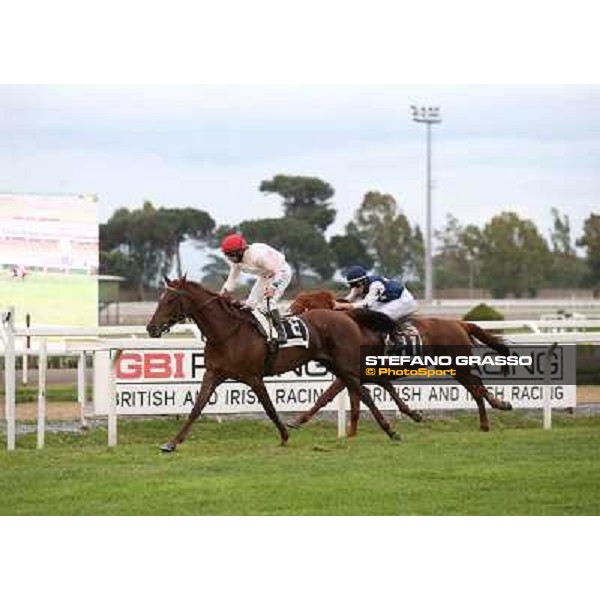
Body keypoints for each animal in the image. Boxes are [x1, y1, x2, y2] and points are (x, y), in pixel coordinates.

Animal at [145, 278, 404, 450]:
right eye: (160, 299)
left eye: (170, 299)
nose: (151, 328)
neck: (227, 332)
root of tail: (346, 315)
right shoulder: (213, 373)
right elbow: (196, 408)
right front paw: (172, 443)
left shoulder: (253, 377)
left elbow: (269, 408)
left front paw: (285, 435)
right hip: (335, 365)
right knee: (363, 388)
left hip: (346, 364)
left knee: (365, 392)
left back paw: (393, 431)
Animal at [288, 290, 512, 434]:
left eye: (304, 305)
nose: (288, 316)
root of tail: (459, 323)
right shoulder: (354, 375)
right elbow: (355, 405)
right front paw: (351, 434)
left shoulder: (348, 373)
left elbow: (325, 397)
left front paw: (297, 421)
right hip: (454, 366)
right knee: (477, 385)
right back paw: (493, 411)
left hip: (457, 365)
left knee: (476, 388)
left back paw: (490, 416)